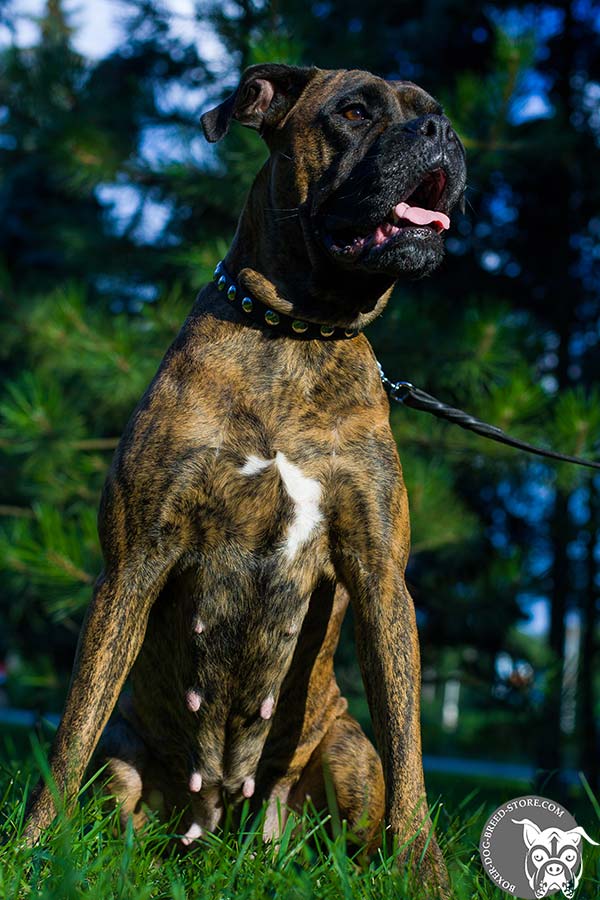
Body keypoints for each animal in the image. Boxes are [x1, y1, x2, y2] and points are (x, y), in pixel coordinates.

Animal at [24, 61, 464, 892]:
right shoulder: (134, 561)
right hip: (124, 770)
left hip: (346, 753)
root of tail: (219, 822)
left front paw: (425, 875)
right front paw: (28, 855)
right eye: (354, 112)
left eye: (435, 112)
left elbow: (413, 757)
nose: (442, 133)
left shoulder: (380, 575)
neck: (298, 333)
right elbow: (69, 733)